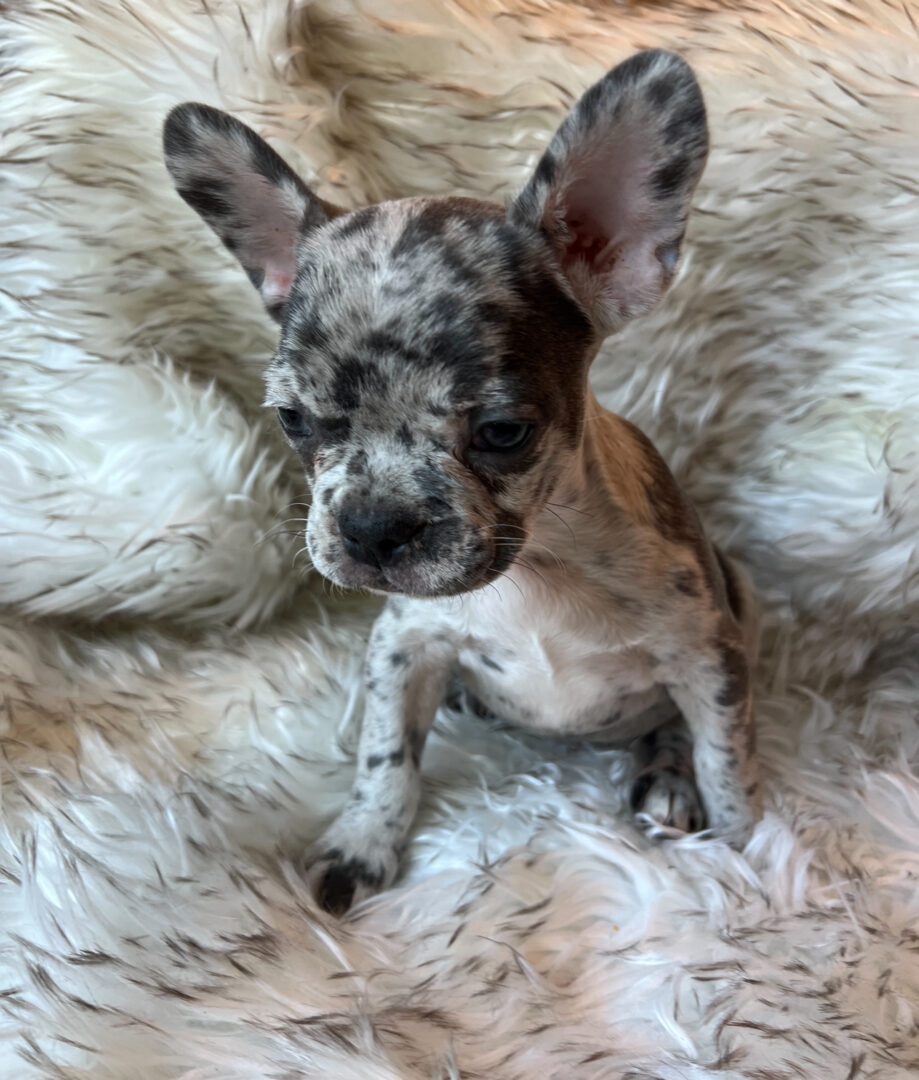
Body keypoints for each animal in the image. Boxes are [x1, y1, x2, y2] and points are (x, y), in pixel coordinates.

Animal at [163, 48, 760, 911]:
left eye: (502, 433)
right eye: (294, 421)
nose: (373, 527)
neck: (538, 564)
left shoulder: (708, 656)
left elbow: (725, 758)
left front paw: (744, 855)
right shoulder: (402, 645)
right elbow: (385, 759)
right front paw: (361, 845)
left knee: (671, 730)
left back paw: (666, 780)